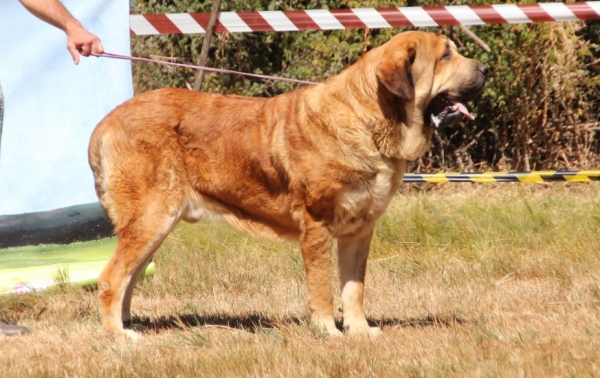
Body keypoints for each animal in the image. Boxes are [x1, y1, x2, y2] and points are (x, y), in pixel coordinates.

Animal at [88, 31, 488, 340]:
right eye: (446, 55)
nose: (485, 68)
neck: (370, 119)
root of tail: (105, 123)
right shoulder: (317, 226)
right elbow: (323, 288)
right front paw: (328, 331)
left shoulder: (358, 232)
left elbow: (354, 288)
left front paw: (360, 331)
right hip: (151, 218)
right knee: (111, 278)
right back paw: (118, 335)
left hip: (155, 226)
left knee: (129, 276)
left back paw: (129, 325)